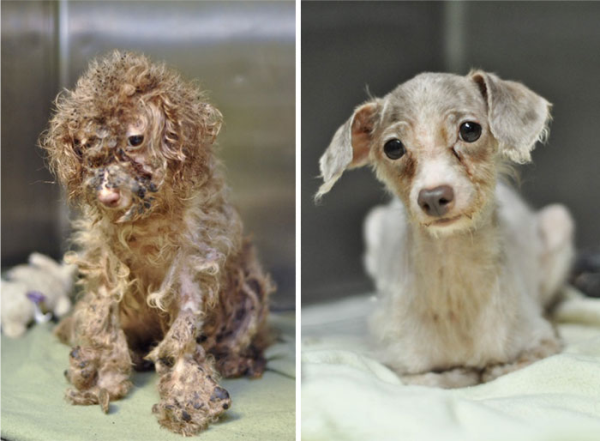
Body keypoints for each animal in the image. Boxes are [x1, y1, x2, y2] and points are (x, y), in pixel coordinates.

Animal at [316, 70, 576, 386]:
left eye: (470, 130)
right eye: (393, 147)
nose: (433, 196)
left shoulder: (539, 343)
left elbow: (504, 368)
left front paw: (486, 367)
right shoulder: (399, 365)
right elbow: (444, 377)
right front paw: (462, 370)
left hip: (559, 222)